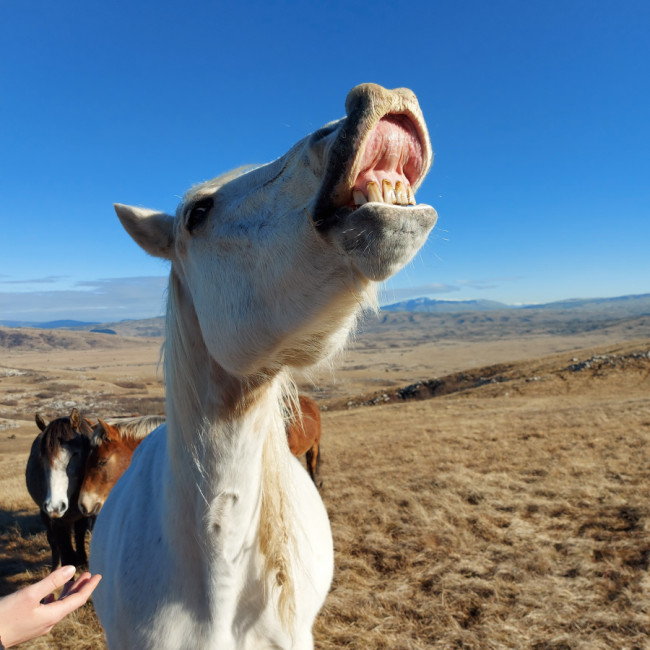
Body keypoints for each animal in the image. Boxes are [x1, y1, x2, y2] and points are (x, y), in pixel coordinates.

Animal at [25, 408, 95, 568]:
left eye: (75, 454)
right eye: (42, 455)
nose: (55, 507)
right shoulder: (59, 523)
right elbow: (67, 556)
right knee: (52, 541)